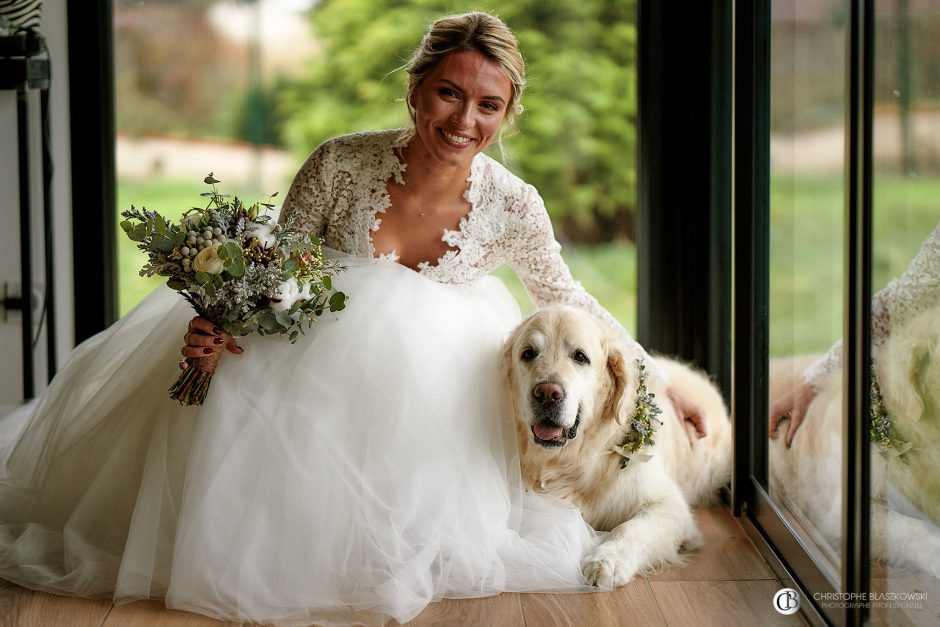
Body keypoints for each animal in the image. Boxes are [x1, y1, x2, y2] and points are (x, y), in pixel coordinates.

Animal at [504, 306, 732, 588]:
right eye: (528, 353)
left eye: (580, 357)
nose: (547, 393)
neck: (571, 462)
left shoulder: (669, 507)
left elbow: (630, 528)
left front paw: (606, 561)